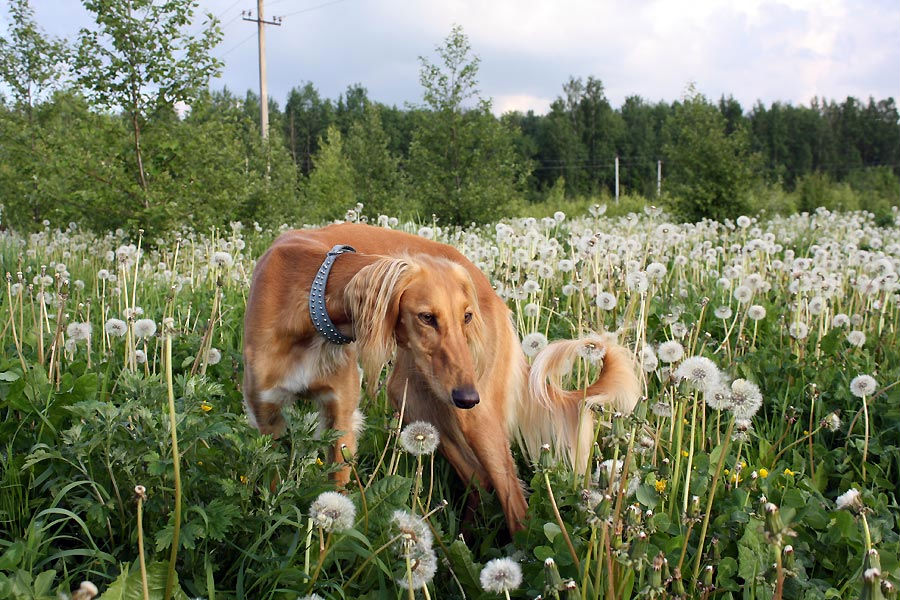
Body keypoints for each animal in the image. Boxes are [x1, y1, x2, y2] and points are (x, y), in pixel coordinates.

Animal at [243, 223, 640, 532]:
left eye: (465, 316)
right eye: (426, 317)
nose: (467, 395)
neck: (309, 296)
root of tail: (486, 283)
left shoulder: (341, 417)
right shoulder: (268, 420)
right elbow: (278, 484)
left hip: (474, 416)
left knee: (514, 499)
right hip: (417, 400)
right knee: (480, 480)